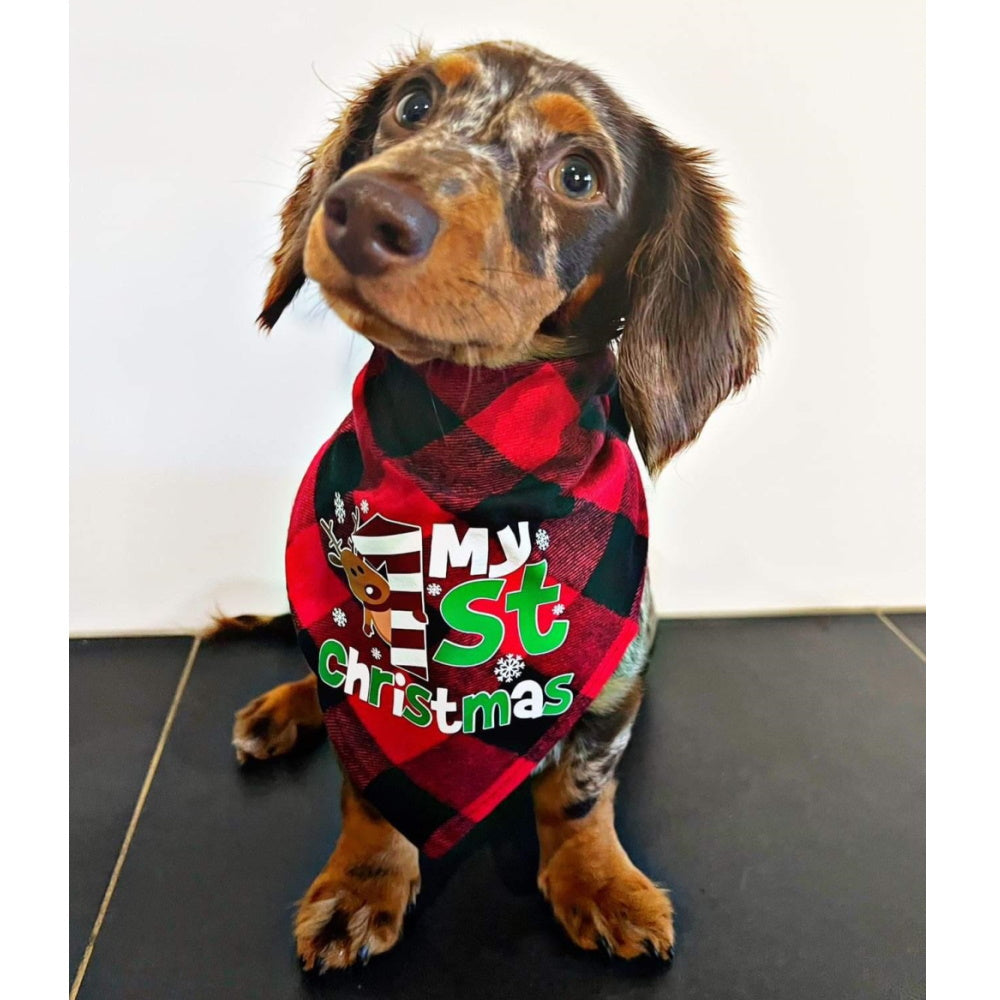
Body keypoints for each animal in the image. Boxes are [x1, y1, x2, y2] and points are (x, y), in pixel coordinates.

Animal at [225, 41, 756, 976]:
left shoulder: (616, 674)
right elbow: (367, 776)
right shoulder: (360, 683)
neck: (472, 470)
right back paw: (280, 709)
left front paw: (598, 881)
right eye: (413, 103)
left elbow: (580, 790)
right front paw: (361, 882)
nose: (363, 211)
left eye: (580, 175)